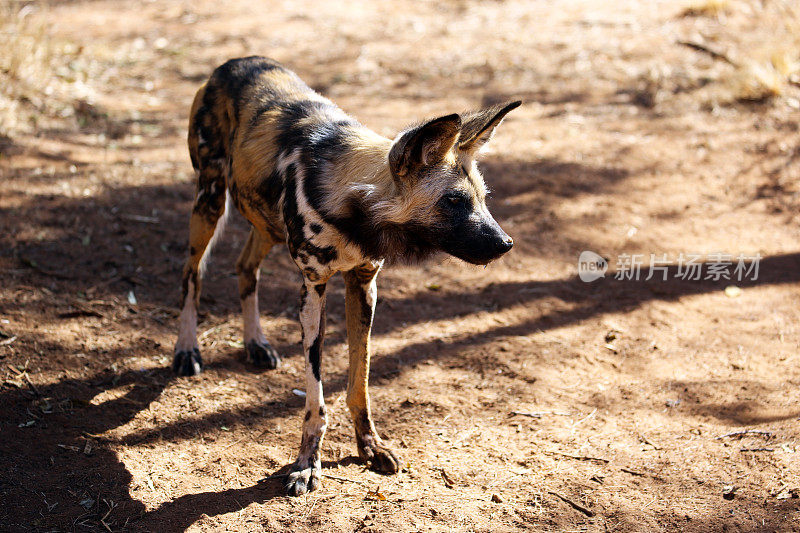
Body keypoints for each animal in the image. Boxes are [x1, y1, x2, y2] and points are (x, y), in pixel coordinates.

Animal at [175, 57, 520, 494]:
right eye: (454, 201)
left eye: (483, 199)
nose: (506, 243)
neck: (356, 211)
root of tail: (234, 62)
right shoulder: (313, 290)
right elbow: (316, 401)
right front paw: (307, 463)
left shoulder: (363, 286)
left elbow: (361, 384)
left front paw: (370, 445)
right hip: (209, 201)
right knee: (191, 276)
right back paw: (187, 349)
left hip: (265, 224)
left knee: (244, 268)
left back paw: (256, 343)